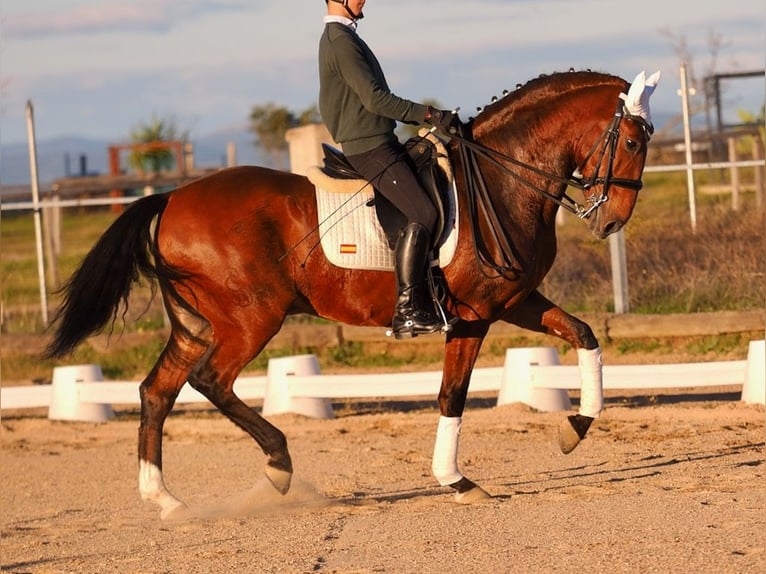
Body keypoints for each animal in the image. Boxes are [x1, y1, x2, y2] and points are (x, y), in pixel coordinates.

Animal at [46, 68, 660, 520]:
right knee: (209, 382)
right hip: (250, 319)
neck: (501, 179)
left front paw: (574, 429)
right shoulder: (473, 316)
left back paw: (168, 502)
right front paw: (457, 481)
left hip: (197, 326)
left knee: (157, 392)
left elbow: (583, 335)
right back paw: (277, 467)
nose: (611, 220)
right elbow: (452, 396)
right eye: (632, 140)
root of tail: (172, 197)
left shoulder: (513, 301)